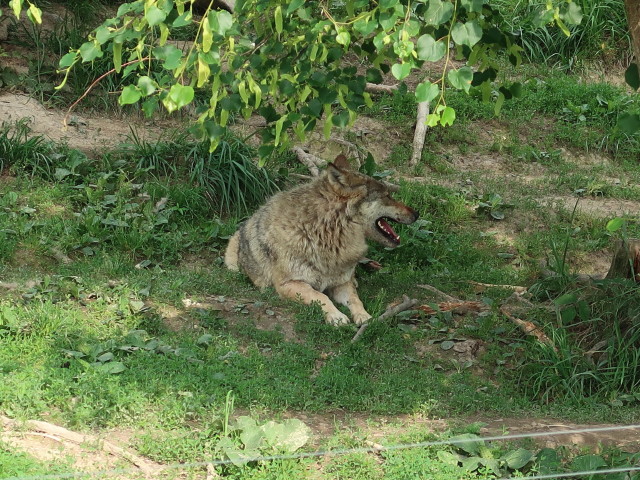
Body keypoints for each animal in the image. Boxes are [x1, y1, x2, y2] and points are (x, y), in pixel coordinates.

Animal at [224, 155, 419, 326]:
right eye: (387, 196)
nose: (417, 213)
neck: (325, 234)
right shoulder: (289, 284)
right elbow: (320, 296)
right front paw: (337, 317)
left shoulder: (341, 284)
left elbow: (355, 300)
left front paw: (365, 317)